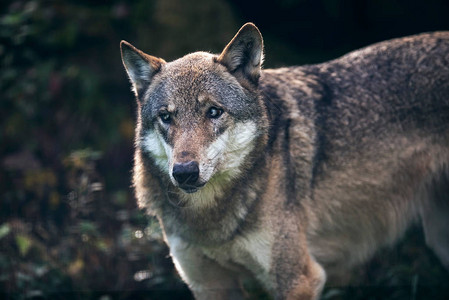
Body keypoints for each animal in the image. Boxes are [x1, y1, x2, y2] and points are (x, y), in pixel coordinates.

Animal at [119, 24, 448, 300]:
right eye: (166, 117)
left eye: (214, 112)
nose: (184, 173)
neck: (212, 219)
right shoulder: (210, 285)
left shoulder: (299, 280)